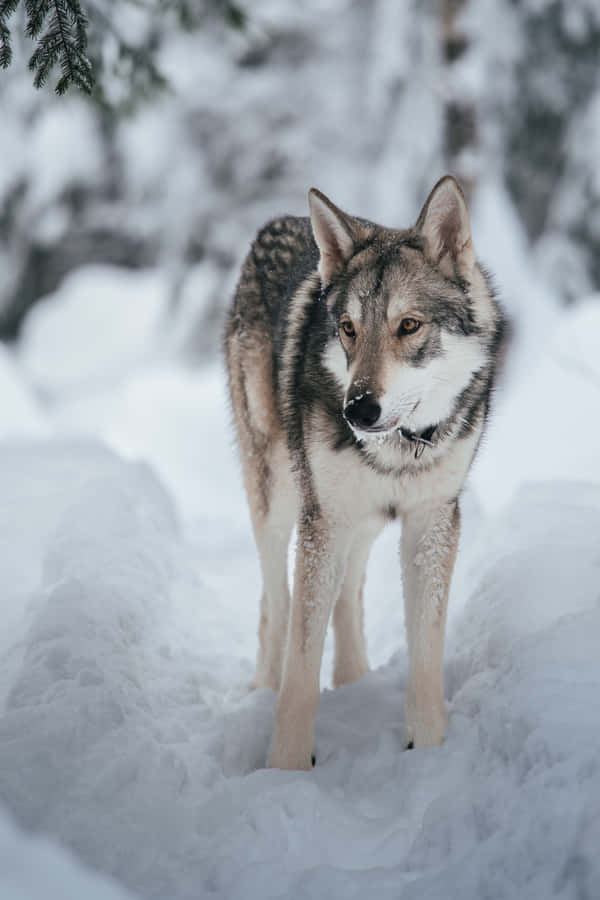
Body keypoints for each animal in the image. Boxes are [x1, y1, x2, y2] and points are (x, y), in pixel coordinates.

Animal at [225, 176, 505, 770]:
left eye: (409, 326)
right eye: (349, 329)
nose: (358, 410)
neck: (400, 447)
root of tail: (278, 221)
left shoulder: (431, 522)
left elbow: (425, 656)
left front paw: (428, 752)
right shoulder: (324, 518)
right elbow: (301, 665)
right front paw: (285, 767)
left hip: (363, 517)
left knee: (348, 593)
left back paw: (354, 680)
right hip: (280, 499)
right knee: (276, 602)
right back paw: (262, 688)